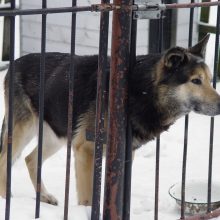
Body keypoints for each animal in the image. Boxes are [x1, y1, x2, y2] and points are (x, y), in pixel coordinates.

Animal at [0, 33, 220, 205]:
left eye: (210, 80)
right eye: (195, 81)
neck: (140, 91)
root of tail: (14, 63)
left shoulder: (121, 157)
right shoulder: (86, 150)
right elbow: (87, 200)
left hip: (56, 136)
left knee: (30, 159)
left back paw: (44, 196)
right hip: (24, 130)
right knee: (5, 160)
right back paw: (5, 199)